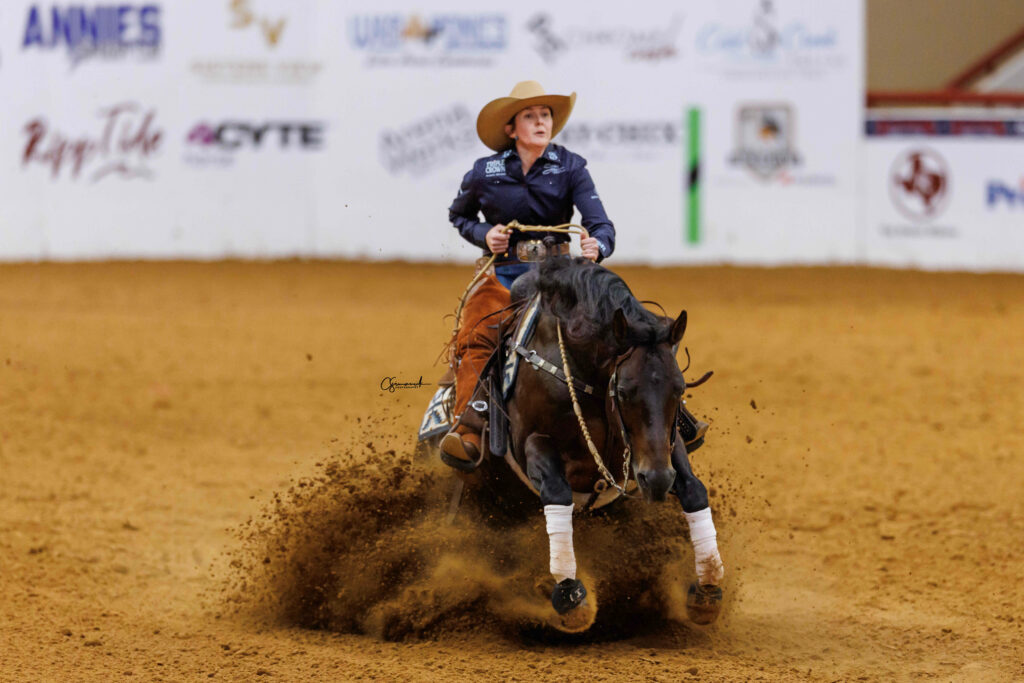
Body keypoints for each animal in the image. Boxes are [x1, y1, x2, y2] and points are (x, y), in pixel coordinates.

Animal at [424, 252, 725, 632]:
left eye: (679, 388)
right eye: (623, 391)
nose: (656, 480)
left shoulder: (665, 450)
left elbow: (693, 490)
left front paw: (707, 590)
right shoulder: (532, 443)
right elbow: (557, 493)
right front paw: (569, 595)